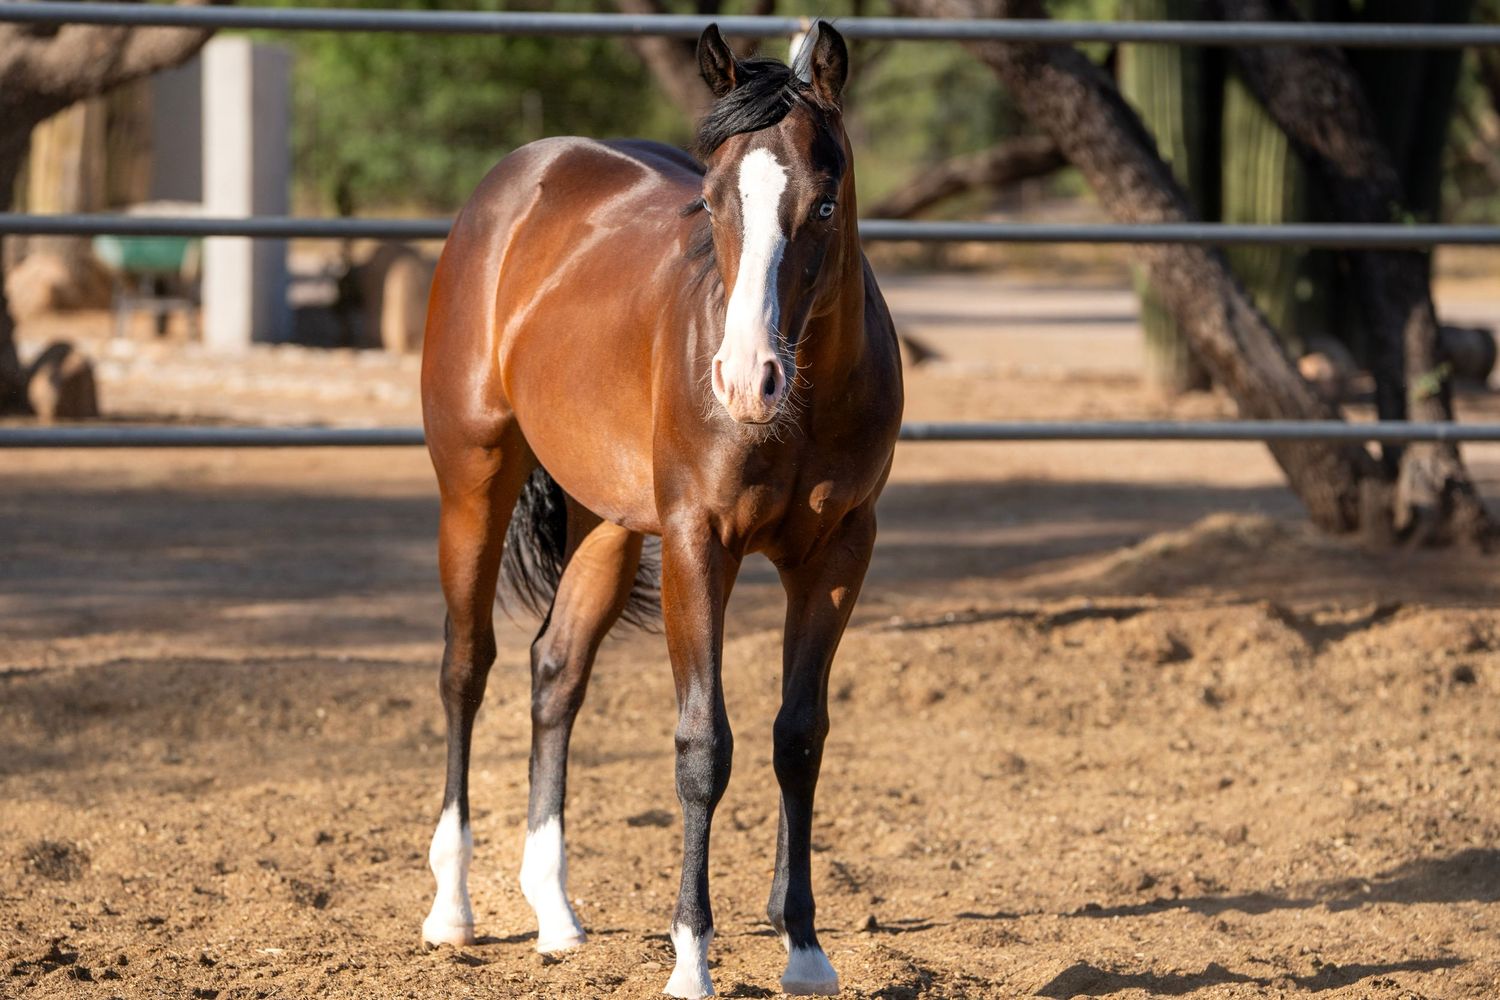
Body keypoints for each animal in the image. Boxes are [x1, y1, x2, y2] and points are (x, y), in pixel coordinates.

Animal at [417, 22, 902, 997]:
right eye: (711, 202)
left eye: (824, 206)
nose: (746, 379)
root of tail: (522, 177)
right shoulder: (696, 544)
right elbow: (702, 746)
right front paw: (691, 958)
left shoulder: (838, 552)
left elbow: (799, 736)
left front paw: (803, 947)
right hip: (473, 478)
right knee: (467, 665)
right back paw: (453, 907)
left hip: (607, 523)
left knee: (555, 668)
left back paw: (556, 914)